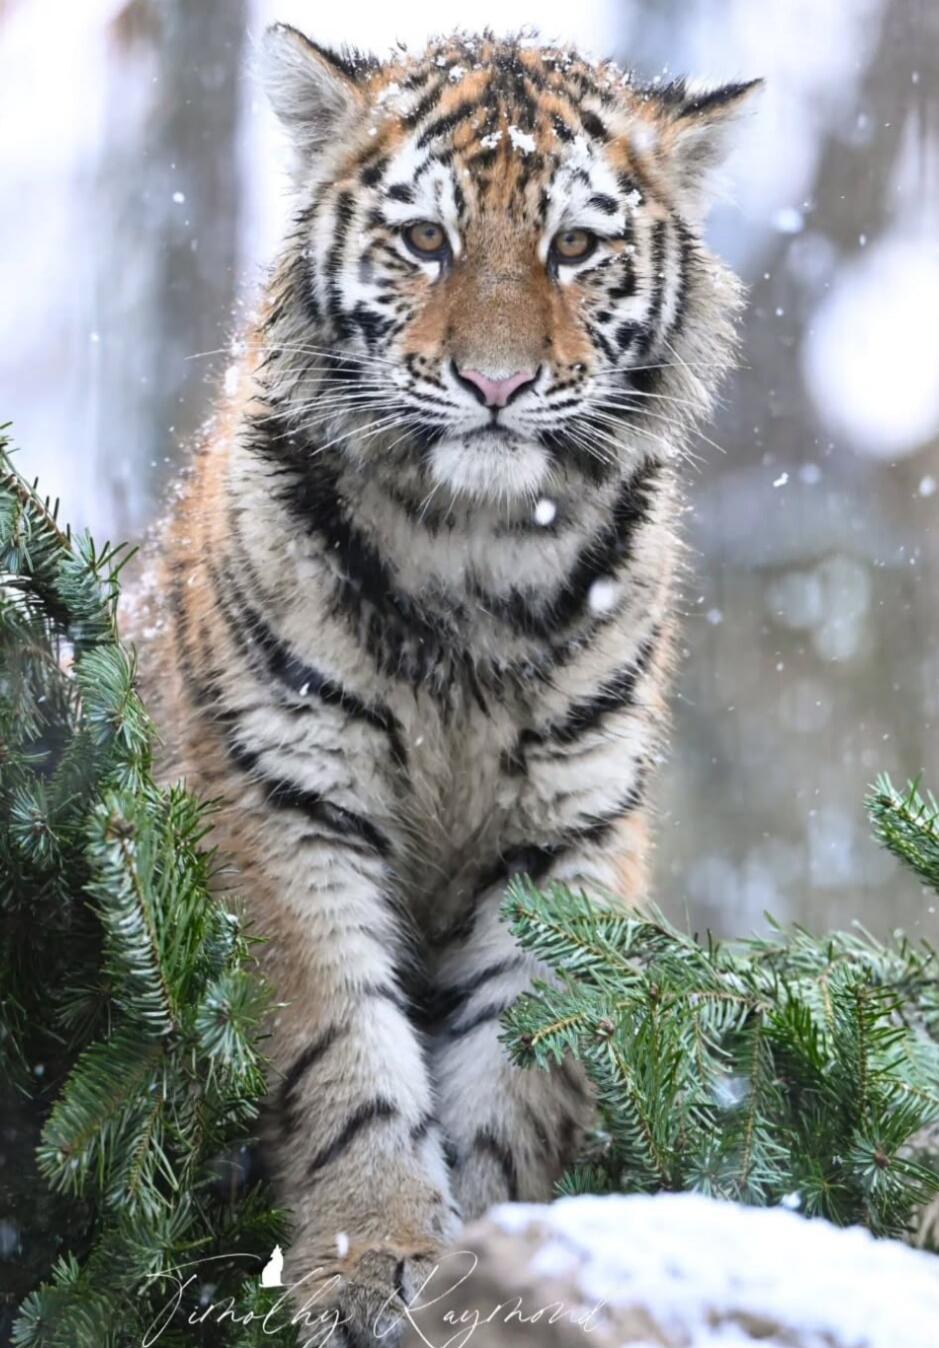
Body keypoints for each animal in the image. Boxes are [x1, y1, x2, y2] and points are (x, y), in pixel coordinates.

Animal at [130, 23, 758, 1344]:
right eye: (426, 241)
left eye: (574, 248)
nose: (497, 386)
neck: (474, 552)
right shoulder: (284, 803)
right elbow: (344, 1053)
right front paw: (370, 1258)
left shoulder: (567, 835)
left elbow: (515, 1078)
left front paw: (496, 1285)